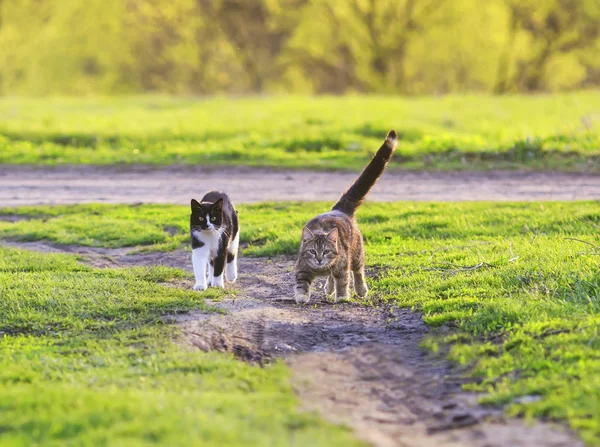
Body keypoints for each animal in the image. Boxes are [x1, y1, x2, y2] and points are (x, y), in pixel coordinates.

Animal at [292, 130, 396, 304]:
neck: (321, 268)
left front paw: (341, 297)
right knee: (332, 277)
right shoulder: (302, 267)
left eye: (326, 251)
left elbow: (343, 281)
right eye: (312, 251)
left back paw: (361, 289)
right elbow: (302, 282)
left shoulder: (341, 267)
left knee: (358, 271)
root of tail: (339, 209)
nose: (319, 259)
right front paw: (302, 295)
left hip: (356, 253)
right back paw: (328, 288)